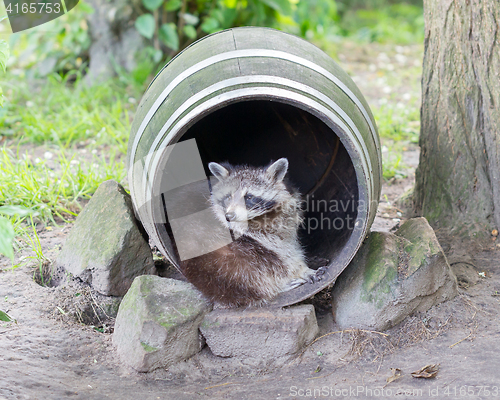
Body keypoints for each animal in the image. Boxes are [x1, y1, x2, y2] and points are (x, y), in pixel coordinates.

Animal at [179, 158, 324, 308]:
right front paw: (299, 269)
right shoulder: (249, 233)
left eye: (248, 197)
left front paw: (302, 266)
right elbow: (280, 252)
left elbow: (288, 242)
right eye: (228, 196)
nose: (229, 216)